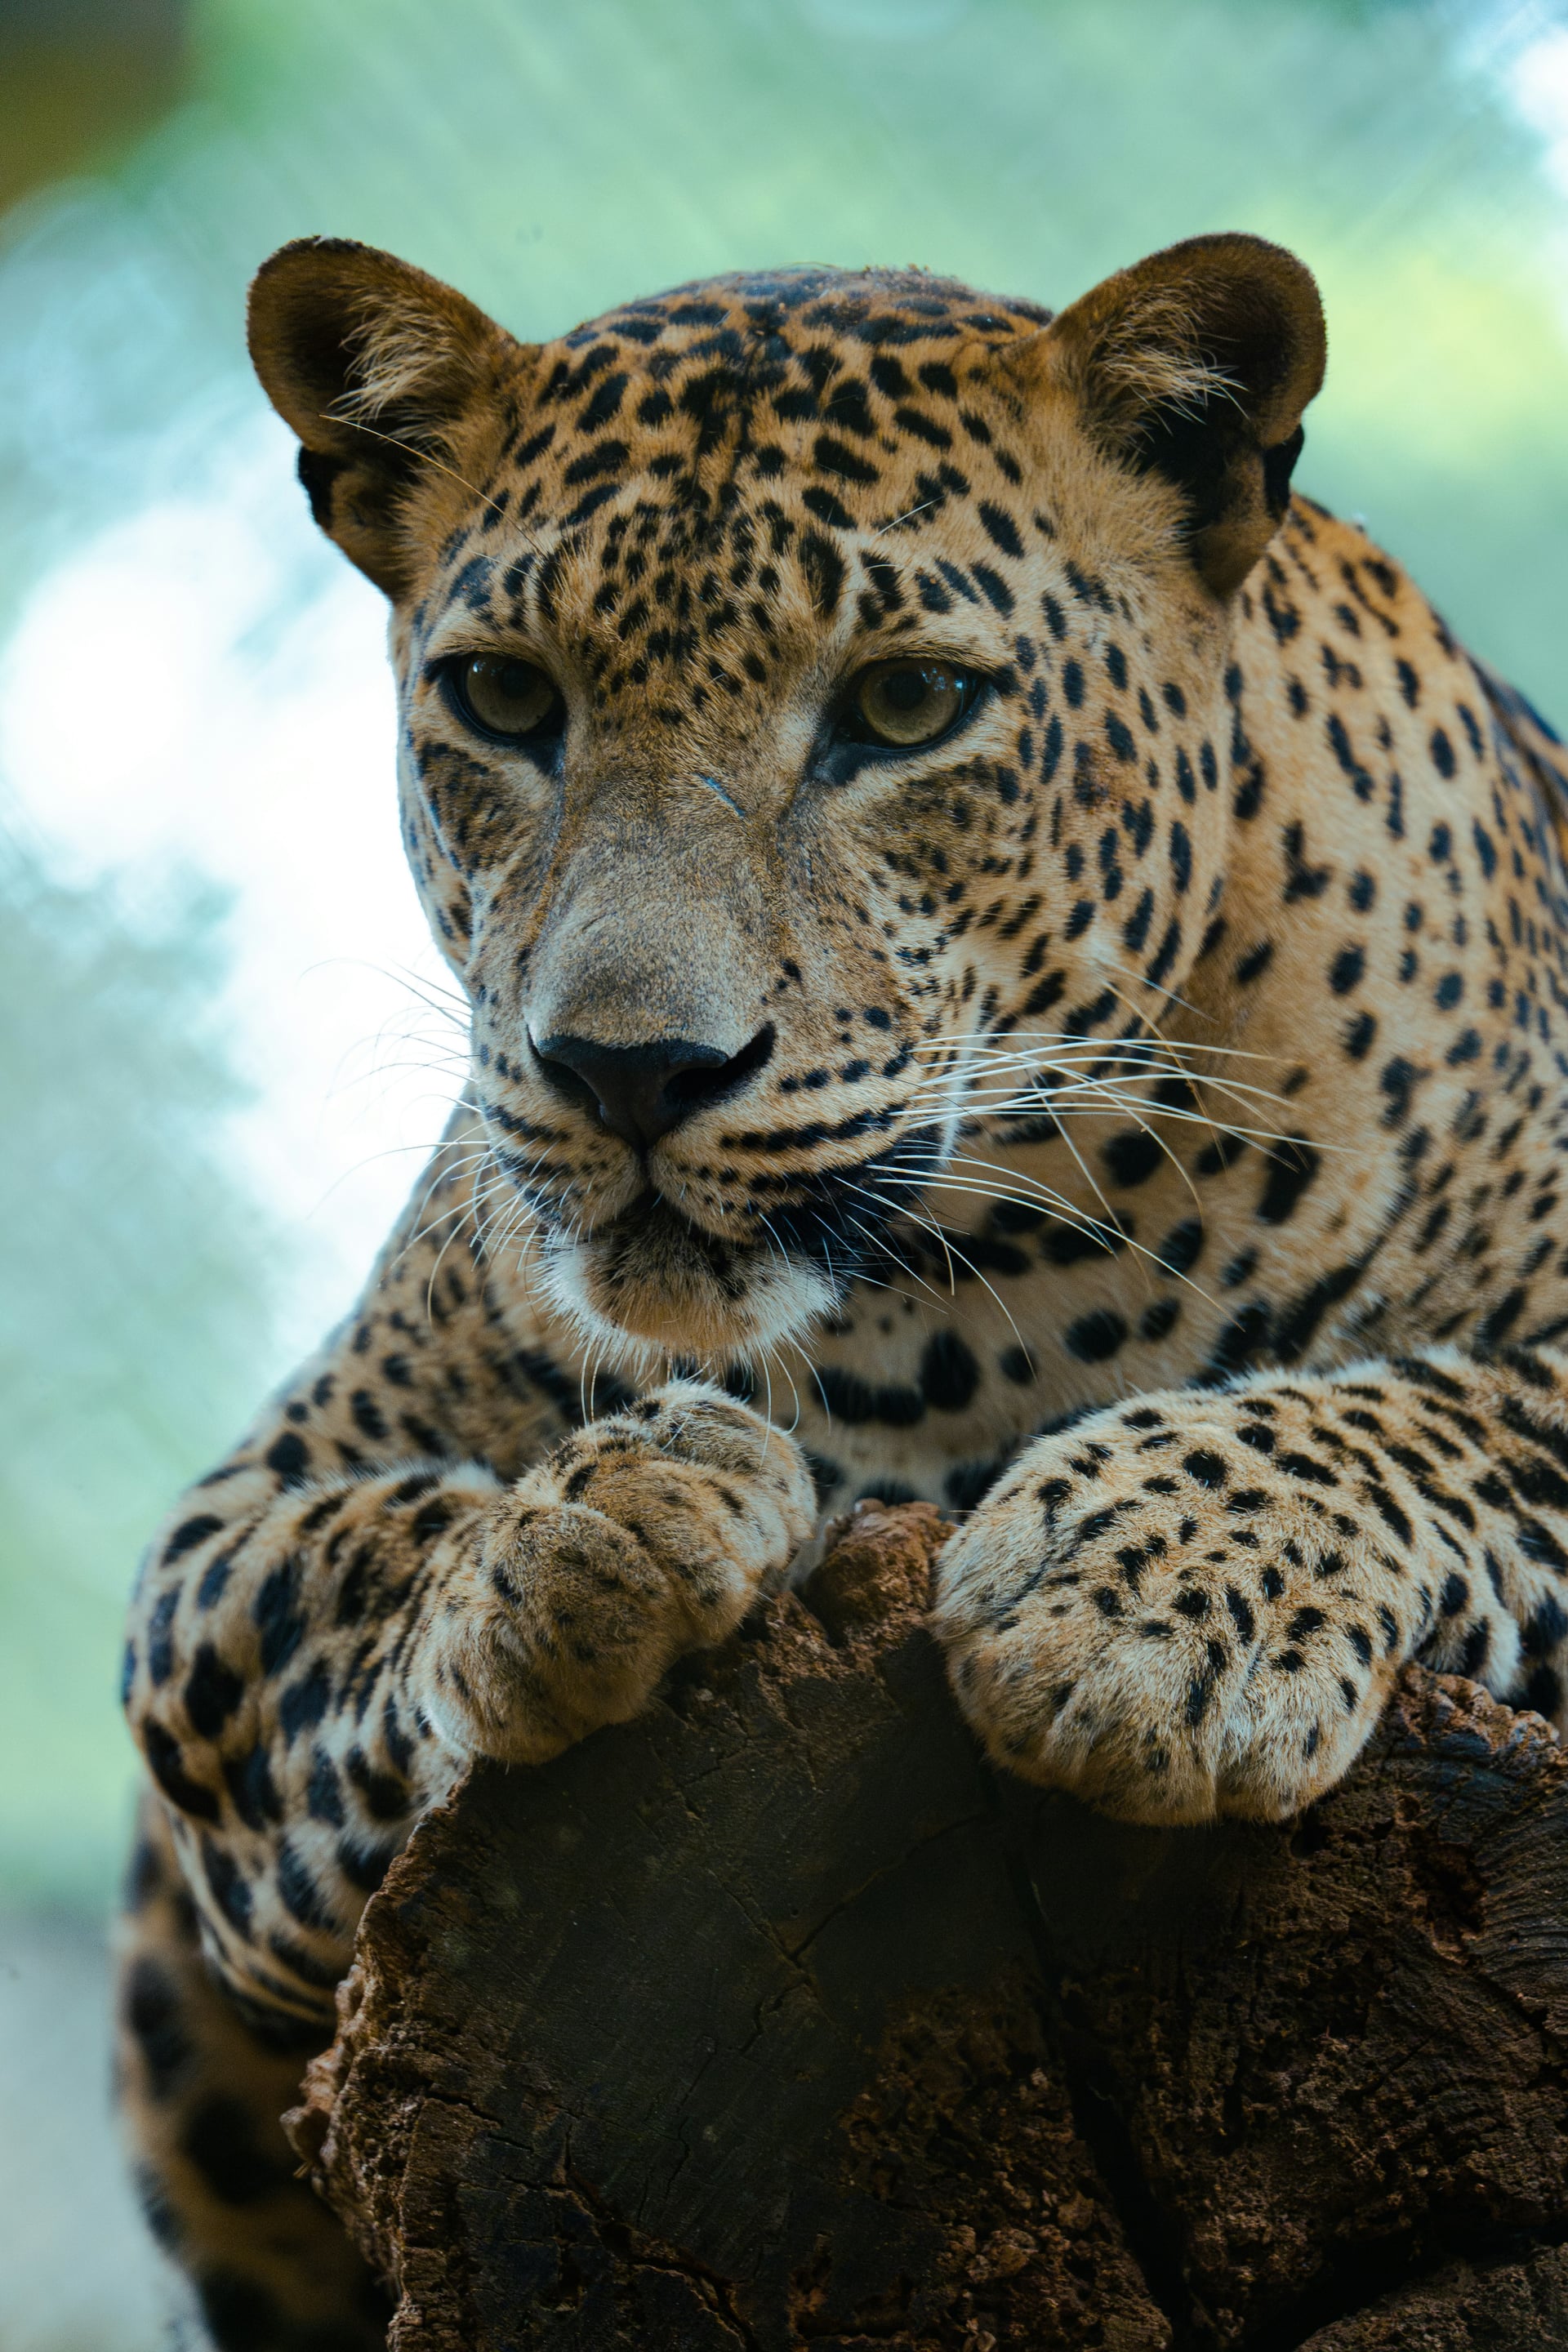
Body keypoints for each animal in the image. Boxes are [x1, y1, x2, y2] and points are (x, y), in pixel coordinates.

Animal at [116, 228, 1568, 2347]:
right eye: (502, 696)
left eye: (906, 706)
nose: (631, 1070)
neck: (960, 1309)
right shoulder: (231, 1531)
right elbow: (341, 1574)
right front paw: (585, 1530)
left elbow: (1447, 1407)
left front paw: (1143, 1607)